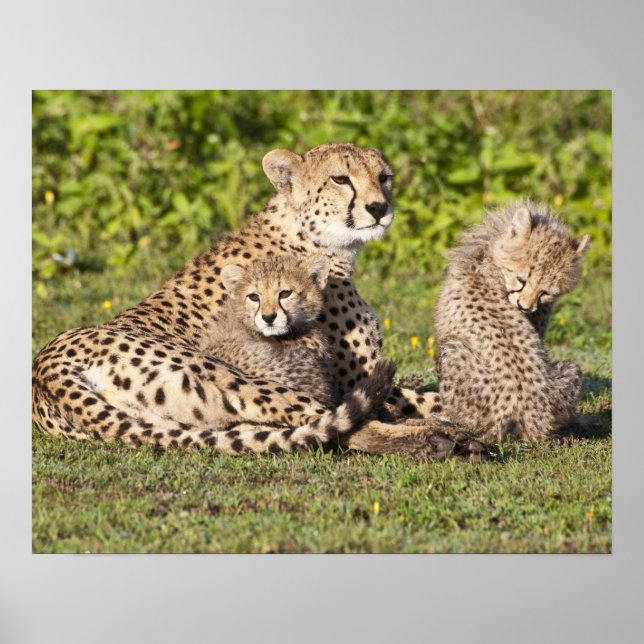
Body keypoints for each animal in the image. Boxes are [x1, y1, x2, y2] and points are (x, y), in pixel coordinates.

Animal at [32, 143, 483, 459]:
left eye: (384, 177)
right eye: (341, 179)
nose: (379, 207)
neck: (312, 239)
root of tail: (46, 369)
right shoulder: (346, 378)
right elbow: (415, 399)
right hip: (235, 377)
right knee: (338, 425)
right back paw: (441, 440)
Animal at [433, 201, 591, 441]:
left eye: (546, 292)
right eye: (521, 279)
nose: (524, 307)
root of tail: (530, 417)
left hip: (453, 350)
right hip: (569, 369)